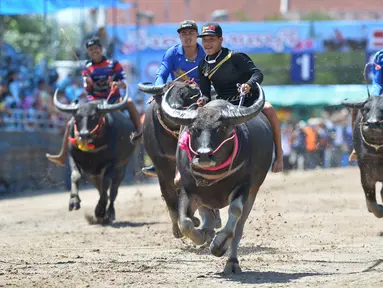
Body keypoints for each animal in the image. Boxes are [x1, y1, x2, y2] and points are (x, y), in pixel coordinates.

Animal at [52, 90, 138, 223]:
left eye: (94, 116)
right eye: (77, 116)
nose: (84, 134)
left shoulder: (113, 163)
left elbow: (106, 183)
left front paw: (100, 210)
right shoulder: (72, 157)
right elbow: (75, 176)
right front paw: (74, 201)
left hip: (121, 168)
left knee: (113, 191)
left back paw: (109, 213)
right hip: (94, 175)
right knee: (100, 188)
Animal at [161, 82, 272, 274]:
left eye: (222, 128)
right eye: (194, 129)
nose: (204, 155)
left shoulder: (244, 186)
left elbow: (234, 214)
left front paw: (219, 244)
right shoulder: (187, 189)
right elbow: (185, 223)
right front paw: (201, 235)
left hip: (253, 192)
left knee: (239, 227)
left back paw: (232, 262)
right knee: (206, 215)